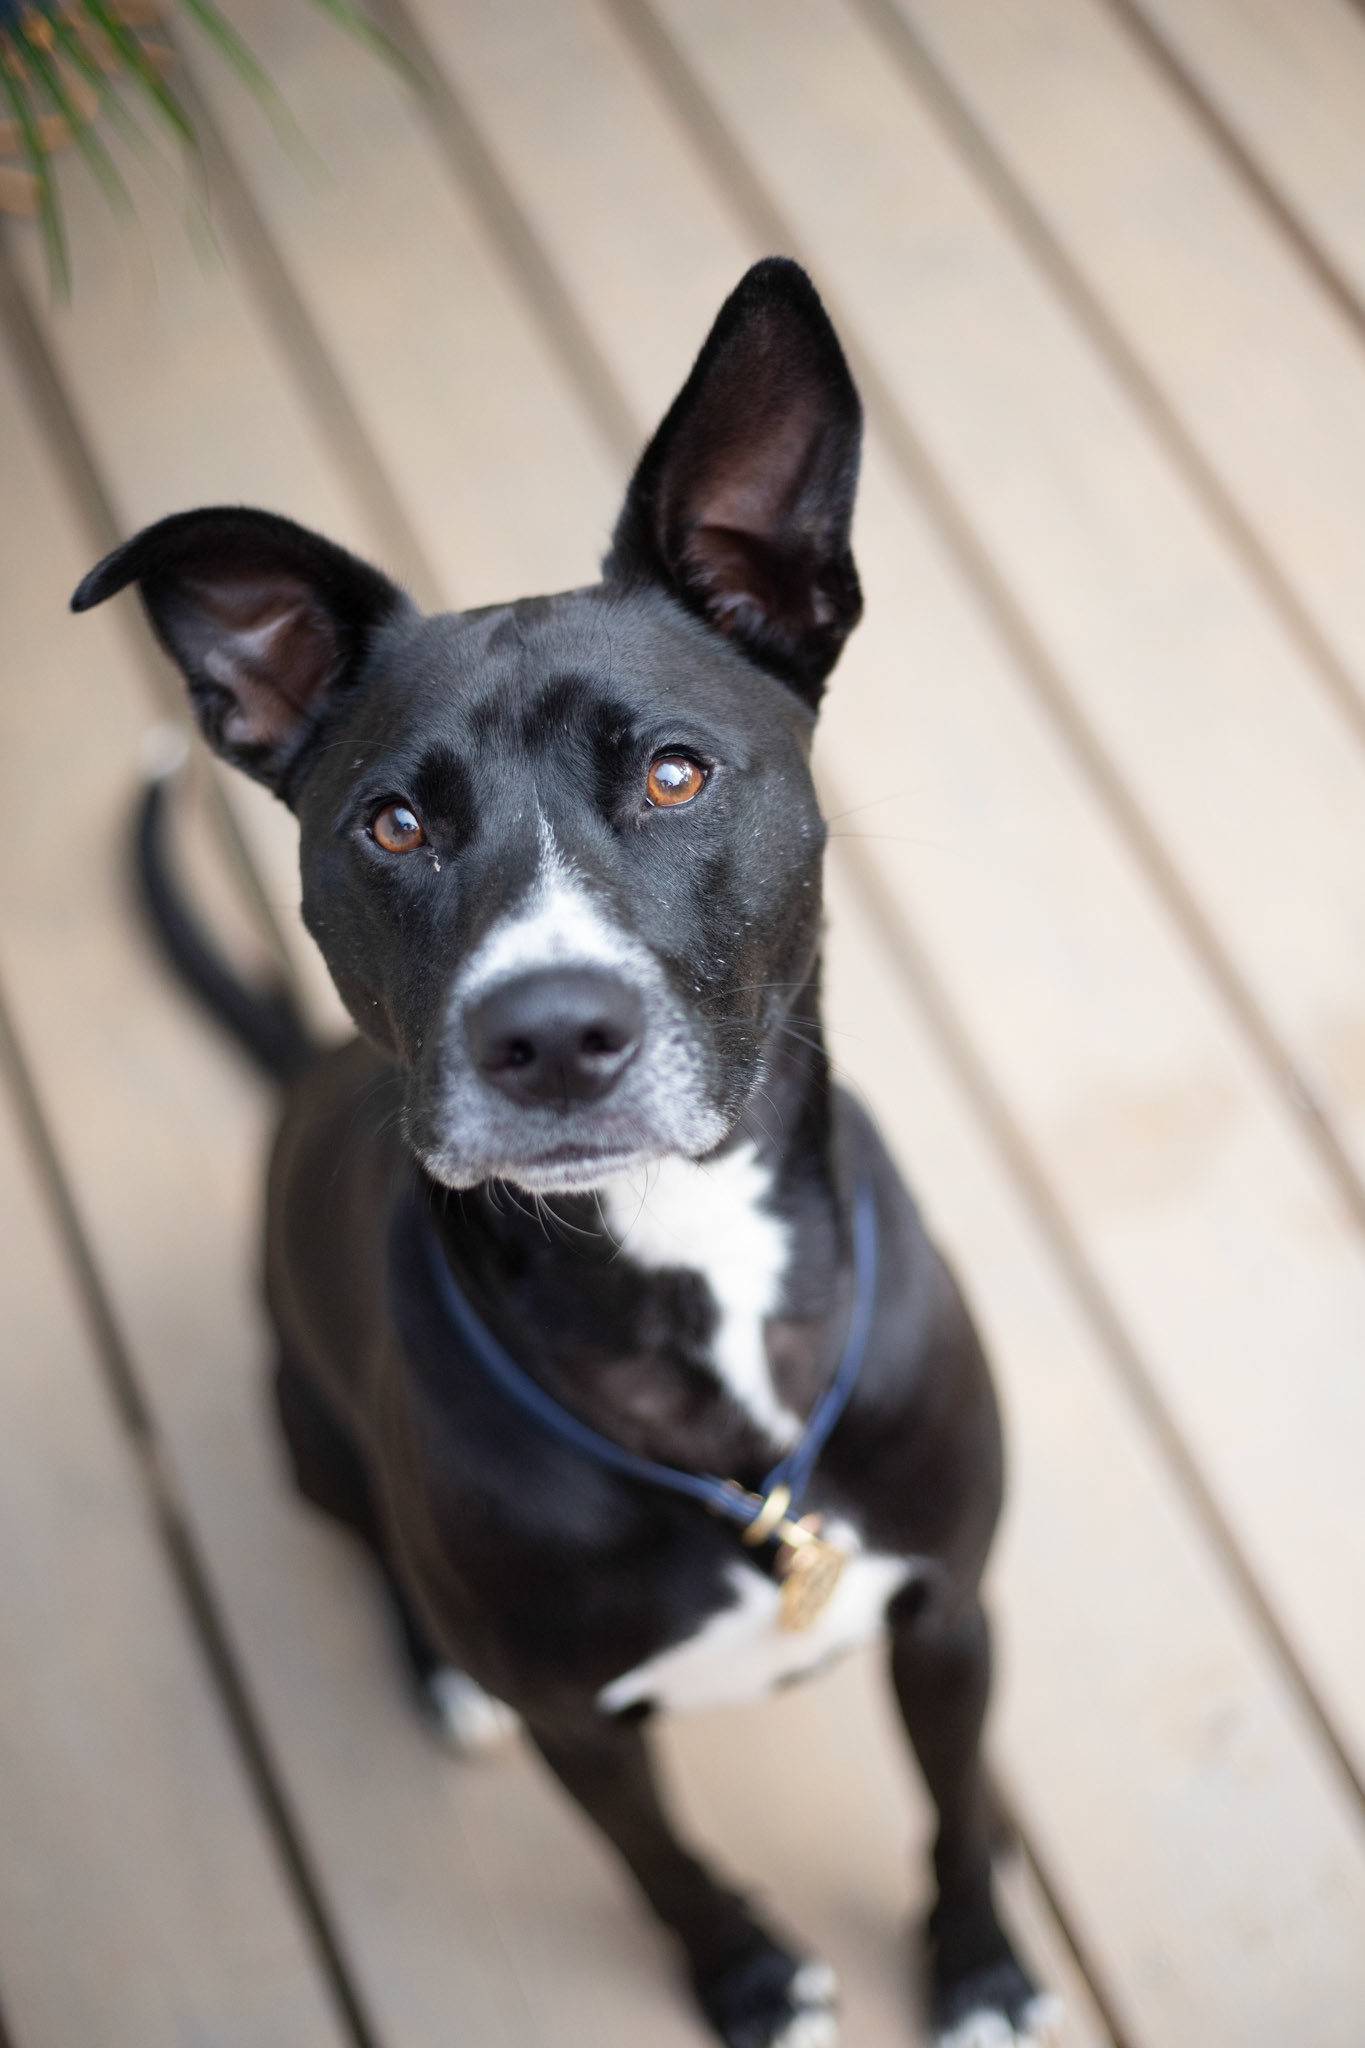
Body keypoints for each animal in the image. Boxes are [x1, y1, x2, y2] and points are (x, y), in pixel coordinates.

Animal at [75, 259, 1056, 2048]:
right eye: (391, 825)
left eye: (674, 772)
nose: (547, 1033)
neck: (684, 1264)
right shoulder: (580, 1726)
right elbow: (660, 1866)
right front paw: (745, 1979)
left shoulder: (949, 1611)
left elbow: (955, 1803)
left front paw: (980, 1967)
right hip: (304, 1430)